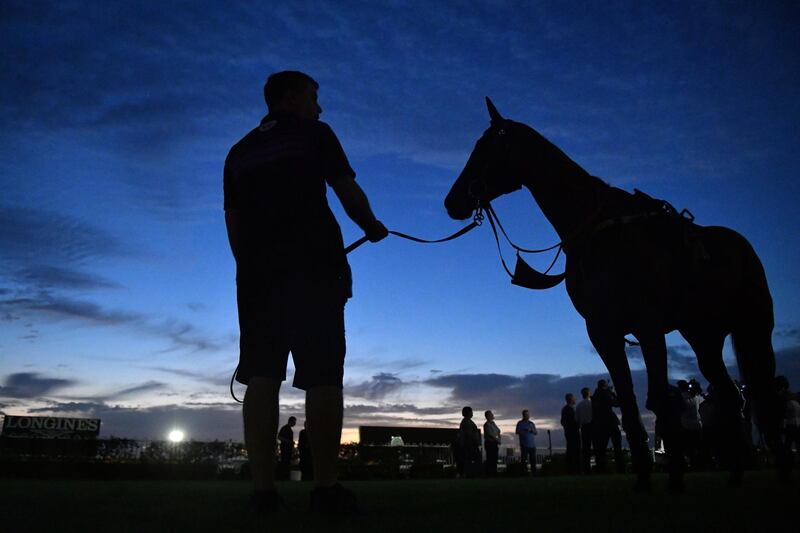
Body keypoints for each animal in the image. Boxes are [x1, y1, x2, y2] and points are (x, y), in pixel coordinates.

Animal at [444, 97, 788, 488]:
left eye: (483, 148)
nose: (451, 201)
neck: (598, 232)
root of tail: (741, 246)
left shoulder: (648, 327)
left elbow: (658, 401)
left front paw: (674, 480)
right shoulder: (603, 331)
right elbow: (629, 403)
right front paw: (643, 480)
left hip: (755, 329)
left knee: (763, 397)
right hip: (704, 337)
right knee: (731, 396)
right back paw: (736, 474)